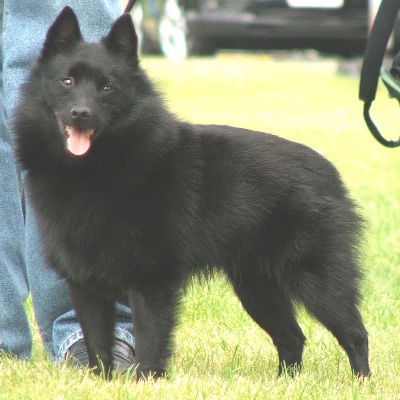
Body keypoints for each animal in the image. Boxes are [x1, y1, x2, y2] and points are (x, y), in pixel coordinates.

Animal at [14, 7, 370, 382]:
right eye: (66, 81)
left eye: (107, 87)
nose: (81, 113)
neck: (93, 172)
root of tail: (328, 171)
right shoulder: (85, 286)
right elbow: (98, 346)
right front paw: (104, 382)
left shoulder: (151, 283)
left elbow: (151, 342)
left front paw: (145, 382)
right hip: (257, 288)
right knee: (292, 337)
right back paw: (285, 383)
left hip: (317, 281)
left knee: (355, 334)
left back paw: (360, 384)